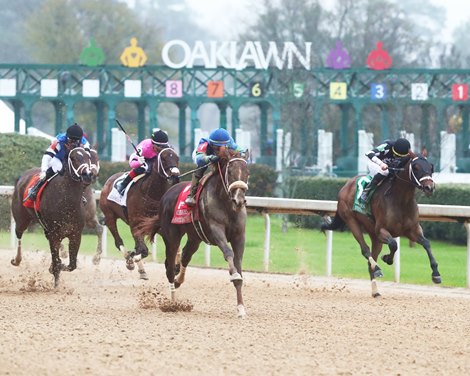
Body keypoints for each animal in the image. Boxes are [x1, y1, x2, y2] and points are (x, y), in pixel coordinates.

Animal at [11, 148, 93, 288]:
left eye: (88, 157)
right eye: (74, 158)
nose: (87, 175)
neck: (67, 202)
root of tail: (22, 177)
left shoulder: (75, 234)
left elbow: (72, 265)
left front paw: (55, 268)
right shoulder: (55, 234)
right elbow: (56, 263)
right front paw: (55, 283)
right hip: (22, 219)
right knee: (19, 233)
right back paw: (17, 260)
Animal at [99, 147, 180, 280]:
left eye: (177, 158)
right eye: (163, 158)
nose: (175, 176)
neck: (150, 194)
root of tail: (108, 180)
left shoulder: (157, 225)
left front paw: (176, 267)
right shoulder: (136, 225)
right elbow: (143, 251)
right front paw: (133, 257)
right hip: (110, 216)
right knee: (118, 242)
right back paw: (130, 260)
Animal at [139, 150, 252, 318]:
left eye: (247, 172)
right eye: (230, 172)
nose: (239, 200)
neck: (226, 204)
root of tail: (167, 193)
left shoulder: (239, 237)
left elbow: (238, 266)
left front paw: (241, 309)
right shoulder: (216, 230)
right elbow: (228, 253)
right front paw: (234, 275)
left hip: (195, 237)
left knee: (185, 256)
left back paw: (178, 281)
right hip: (171, 236)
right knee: (170, 267)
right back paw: (172, 302)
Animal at [322, 154, 438, 298]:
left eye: (431, 167)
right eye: (416, 168)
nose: (429, 188)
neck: (401, 200)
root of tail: (345, 186)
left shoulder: (413, 230)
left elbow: (426, 243)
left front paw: (436, 274)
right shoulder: (381, 230)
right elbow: (394, 244)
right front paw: (387, 258)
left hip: (374, 236)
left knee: (371, 259)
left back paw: (375, 291)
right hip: (351, 221)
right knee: (365, 250)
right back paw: (377, 269)